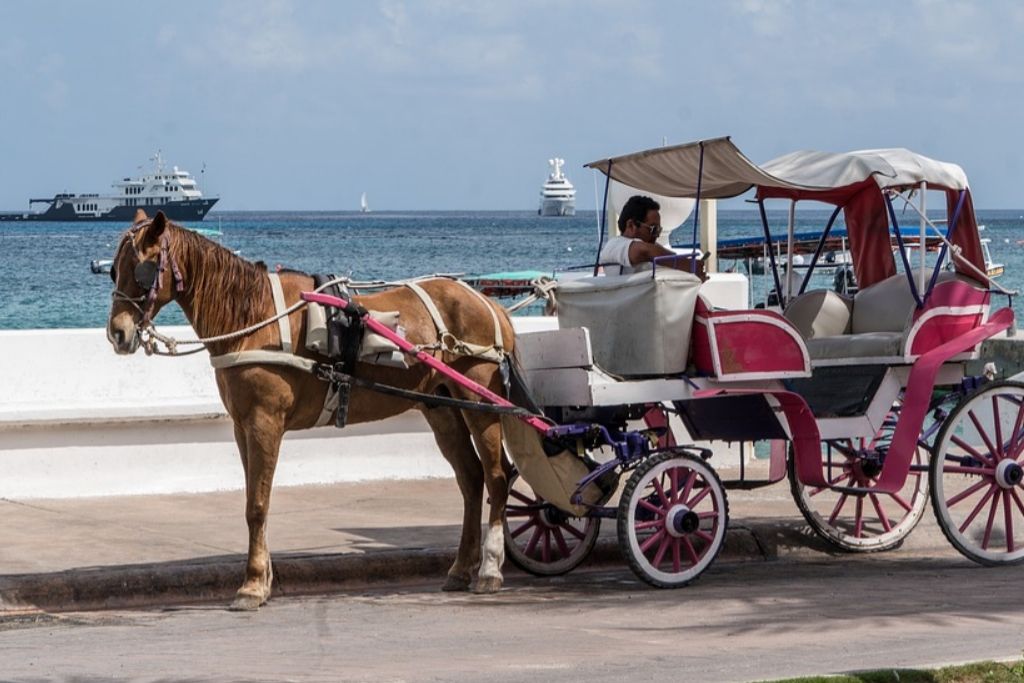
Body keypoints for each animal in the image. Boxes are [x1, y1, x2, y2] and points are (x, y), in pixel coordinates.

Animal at [105, 210, 512, 610]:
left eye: (143, 268)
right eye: (113, 270)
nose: (118, 333)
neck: (252, 318)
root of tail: (488, 303)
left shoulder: (264, 421)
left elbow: (257, 504)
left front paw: (252, 584)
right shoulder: (242, 426)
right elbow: (255, 499)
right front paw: (265, 577)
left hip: (479, 401)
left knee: (496, 476)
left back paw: (490, 569)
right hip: (441, 406)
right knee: (471, 478)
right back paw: (461, 567)